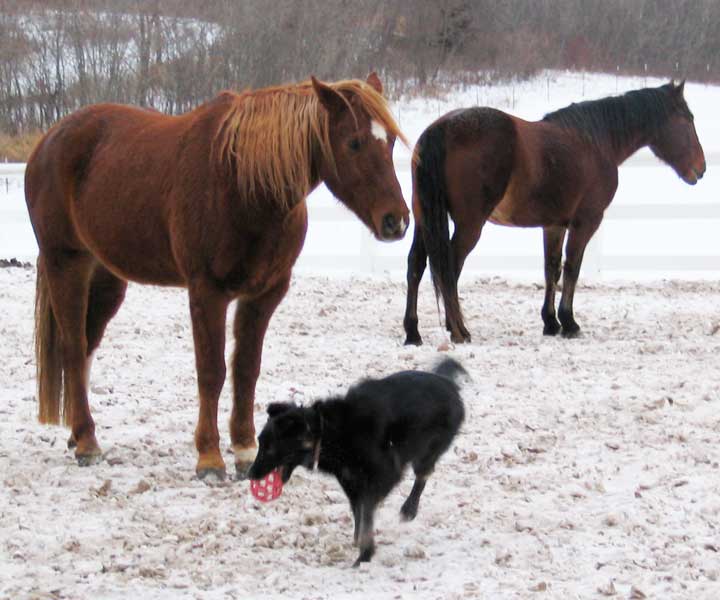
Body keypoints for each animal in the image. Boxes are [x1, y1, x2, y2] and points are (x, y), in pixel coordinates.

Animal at [25, 72, 409, 480]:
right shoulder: (207, 292)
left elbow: (246, 369)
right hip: (66, 264)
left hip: (107, 278)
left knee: (87, 346)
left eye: (390, 140)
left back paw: (75, 434)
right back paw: (87, 441)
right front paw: (209, 458)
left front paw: (244, 449)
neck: (244, 183)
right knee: (72, 347)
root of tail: (48, 141)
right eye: (353, 142)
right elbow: (212, 371)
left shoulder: (264, 294)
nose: (396, 221)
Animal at [248, 357, 466, 565]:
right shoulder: (351, 482)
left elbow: (367, 513)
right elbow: (358, 513)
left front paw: (365, 554)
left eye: (269, 448)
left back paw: (409, 509)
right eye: (260, 443)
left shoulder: (384, 476)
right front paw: (359, 543)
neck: (328, 432)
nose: (249, 474)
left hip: (427, 451)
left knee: (422, 476)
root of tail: (447, 382)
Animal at [403, 80, 705, 345]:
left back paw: (413, 332)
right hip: (469, 226)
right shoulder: (586, 222)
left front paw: (550, 322)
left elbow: (552, 269)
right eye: (688, 119)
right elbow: (572, 268)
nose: (700, 169)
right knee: (449, 267)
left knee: (416, 265)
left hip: (424, 220)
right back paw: (459, 330)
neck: (595, 142)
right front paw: (569, 322)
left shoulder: (554, 225)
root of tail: (440, 129)